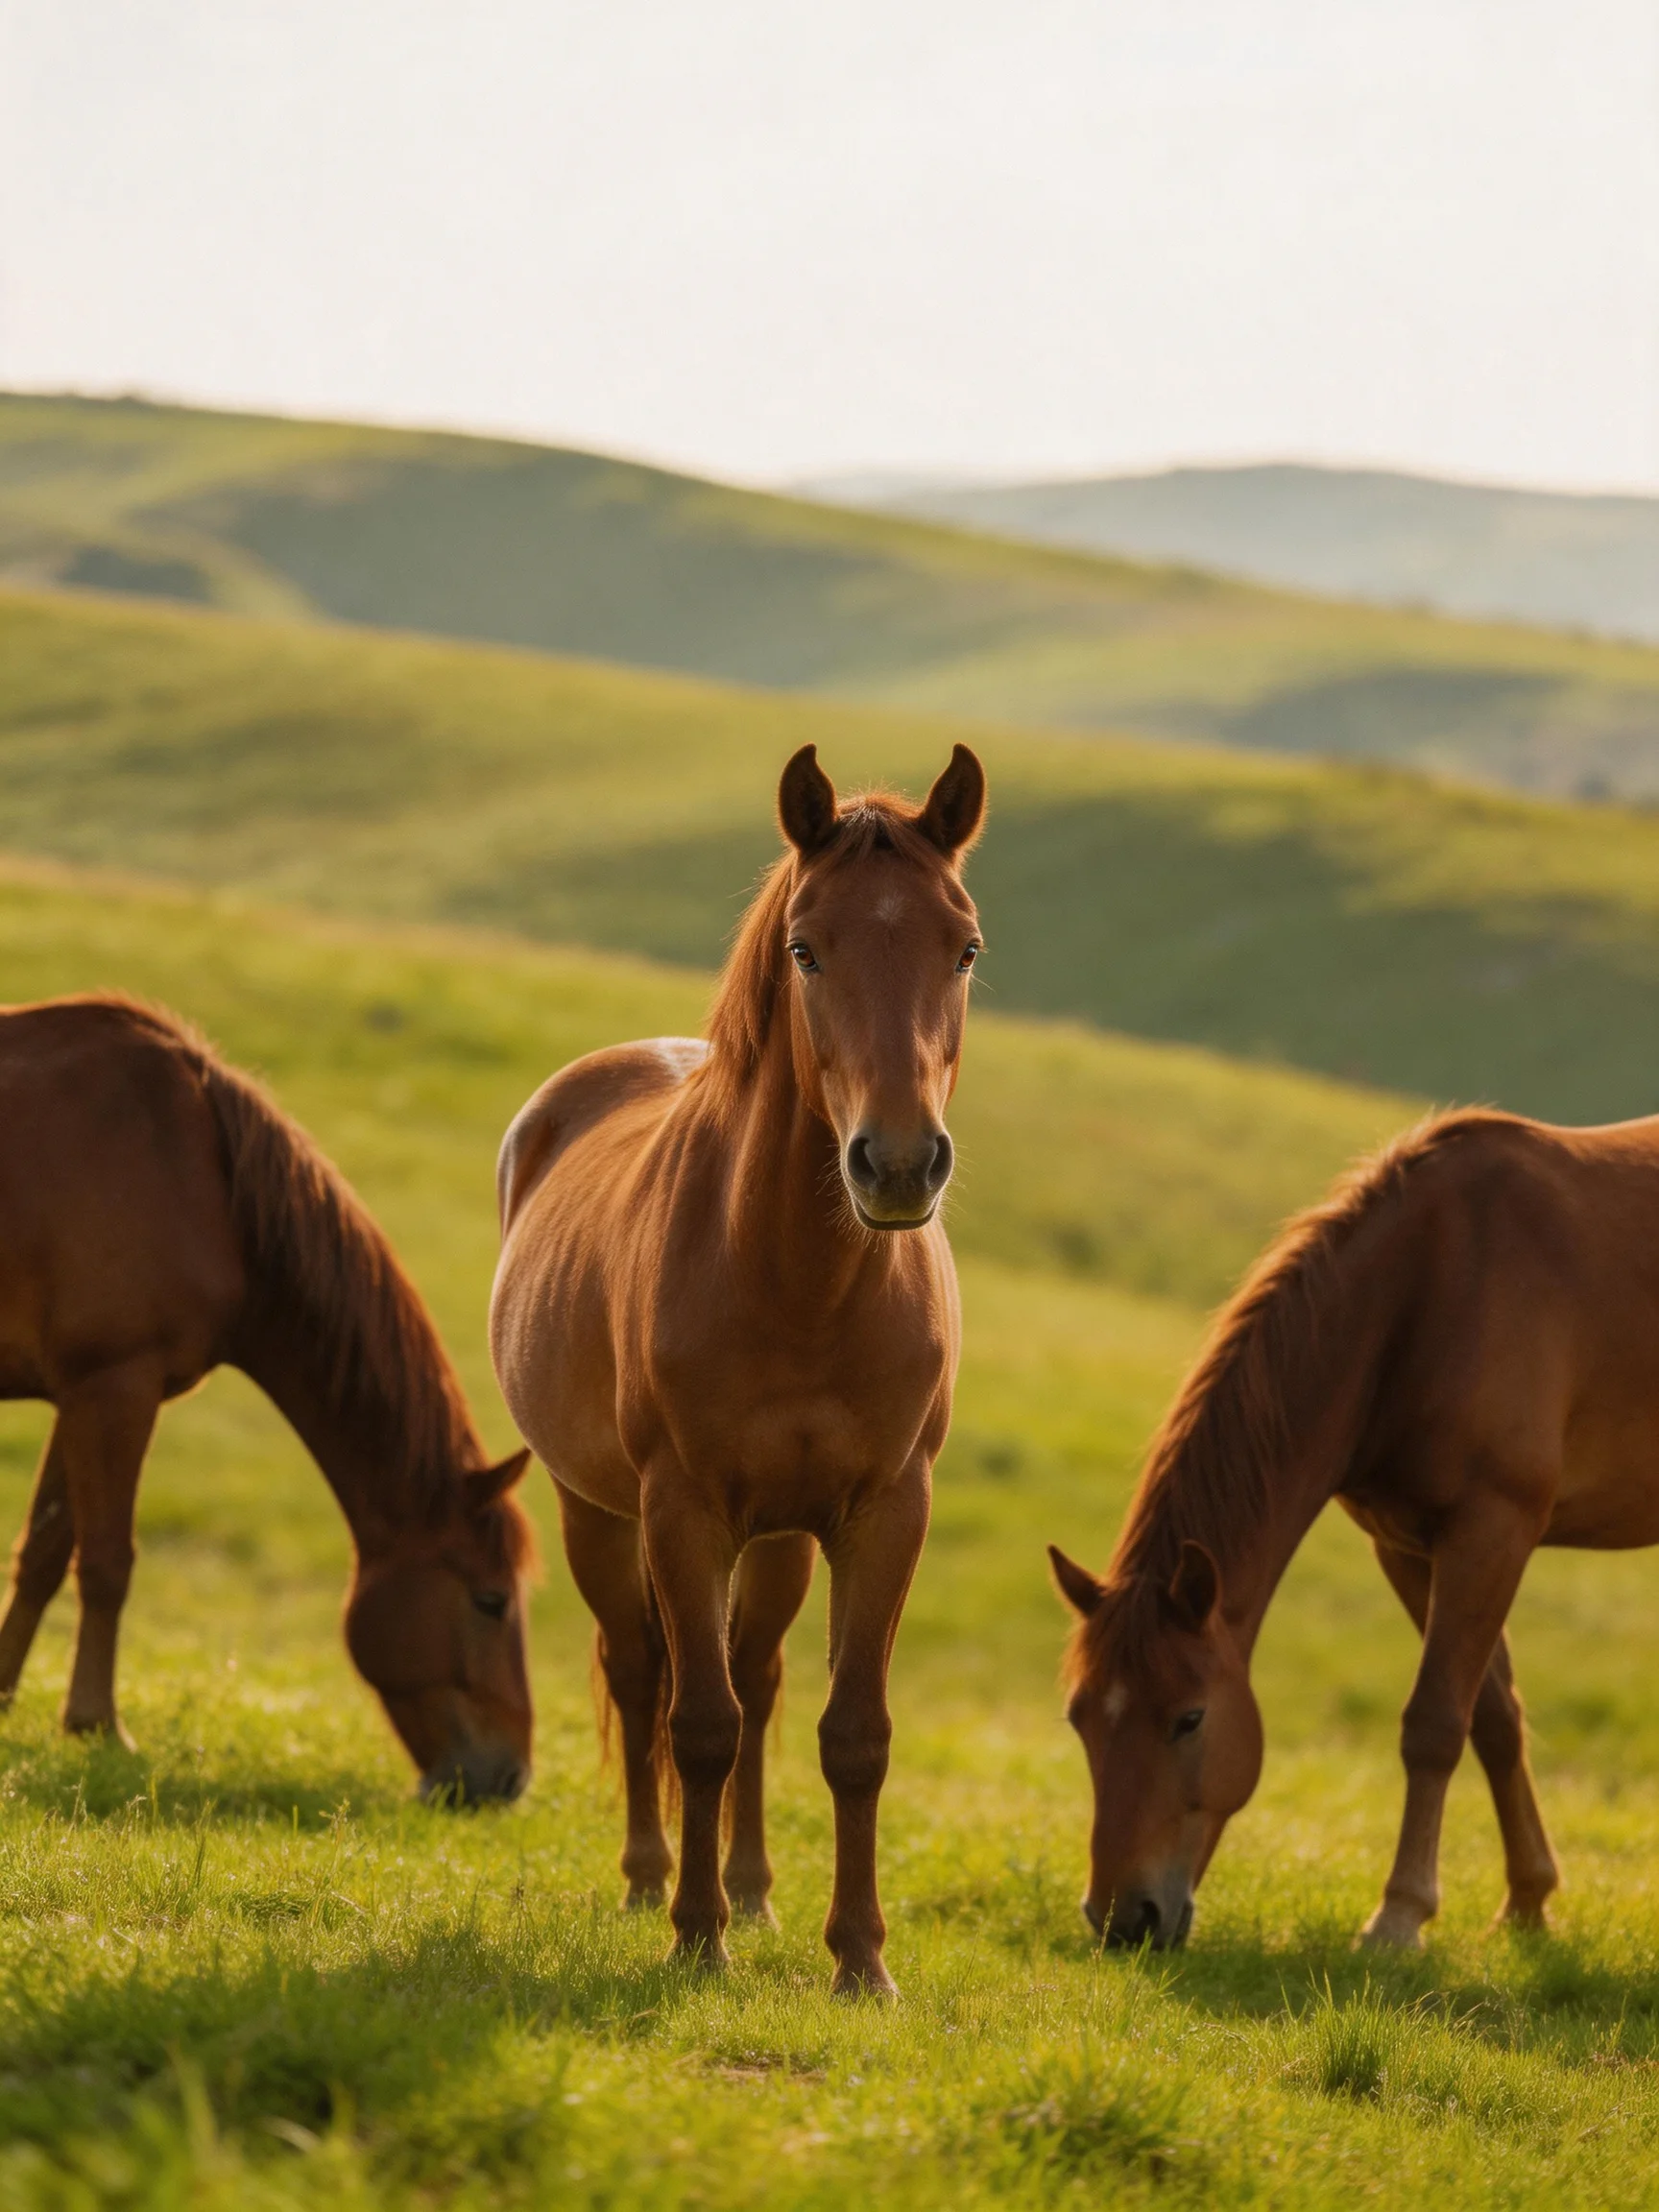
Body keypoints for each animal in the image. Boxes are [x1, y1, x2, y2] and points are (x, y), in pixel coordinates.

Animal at [0, 995, 534, 1801]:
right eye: (490, 1599)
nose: (508, 1778)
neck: (201, 1173)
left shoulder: (83, 1392)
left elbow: (44, 1551)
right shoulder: (119, 1388)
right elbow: (107, 1563)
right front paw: (99, 1725)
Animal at [490, 741, 985, 1994]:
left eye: (964, 946)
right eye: (806, 947)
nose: (897, 1165)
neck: (800, 1285)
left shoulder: (883, 1511)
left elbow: (850, 1734)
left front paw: (858, 1959)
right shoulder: (681, 1510)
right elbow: (696, 1722)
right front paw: (694, 1938)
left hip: (779, 1540)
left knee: (757, 1681)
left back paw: (758, 1895)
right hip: (597, 1512)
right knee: (641, 1672)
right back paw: (652, 1882)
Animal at [1047, 1105, 1659, 1952]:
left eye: (1189, 1719)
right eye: (1079, 1716)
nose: (1122, 1920)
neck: (1432, 1289)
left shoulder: (1491, 1532)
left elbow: (1434, 1723)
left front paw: (1399, 1916)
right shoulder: (1408, 1546)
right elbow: (1493, 1717)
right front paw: (1528, 1901)